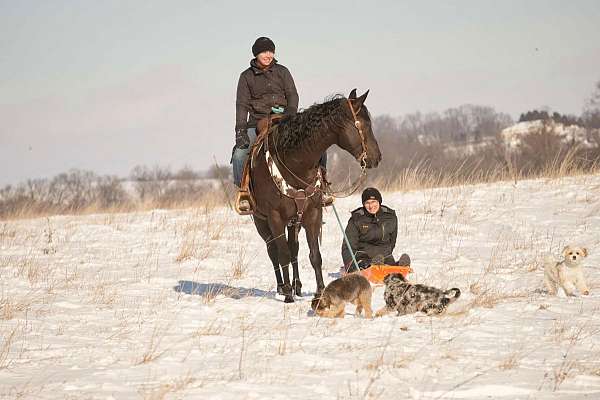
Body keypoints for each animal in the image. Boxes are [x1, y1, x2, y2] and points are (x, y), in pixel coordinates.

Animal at [247, 90, 380, 304]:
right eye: (364, 124)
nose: (377, 157)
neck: (294, 164)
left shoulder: (312, 214)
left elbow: (314, 255)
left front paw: (320, 293)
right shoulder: (275, 217)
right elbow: (282, 254)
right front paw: (288, 295)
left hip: (294, 222)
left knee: (294, 248)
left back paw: (297, 286)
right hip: (262, 222)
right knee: (273, 252)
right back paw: (283, 287)